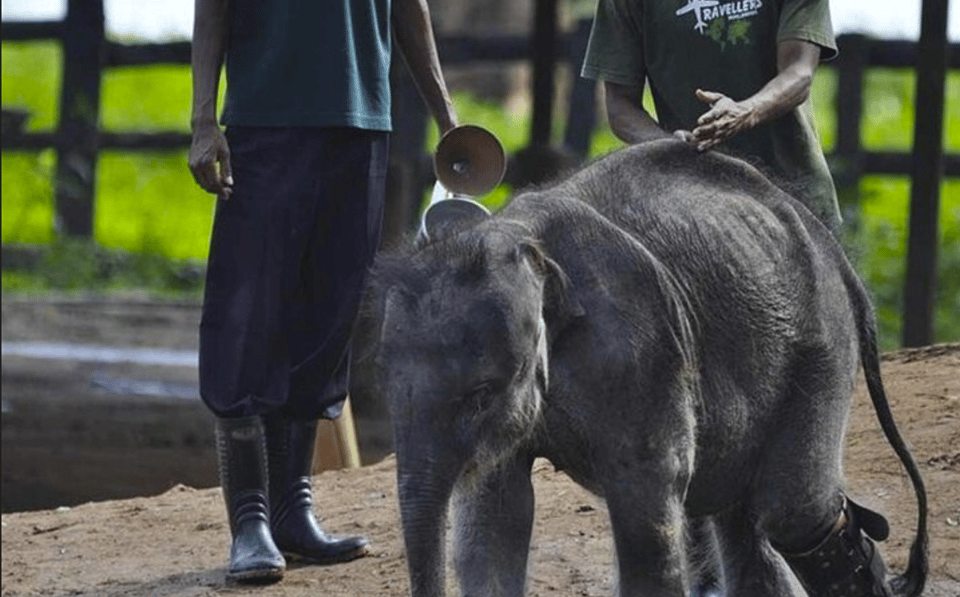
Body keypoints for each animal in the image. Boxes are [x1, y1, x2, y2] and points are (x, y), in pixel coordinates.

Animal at [364, 141, 928, 596]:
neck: (526, 246)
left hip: (820, 342)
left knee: (794, 511)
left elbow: (645, 508)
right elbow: (495, 515)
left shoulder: (641, 347)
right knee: (742, 510)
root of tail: (833, 248)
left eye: (484, 391)